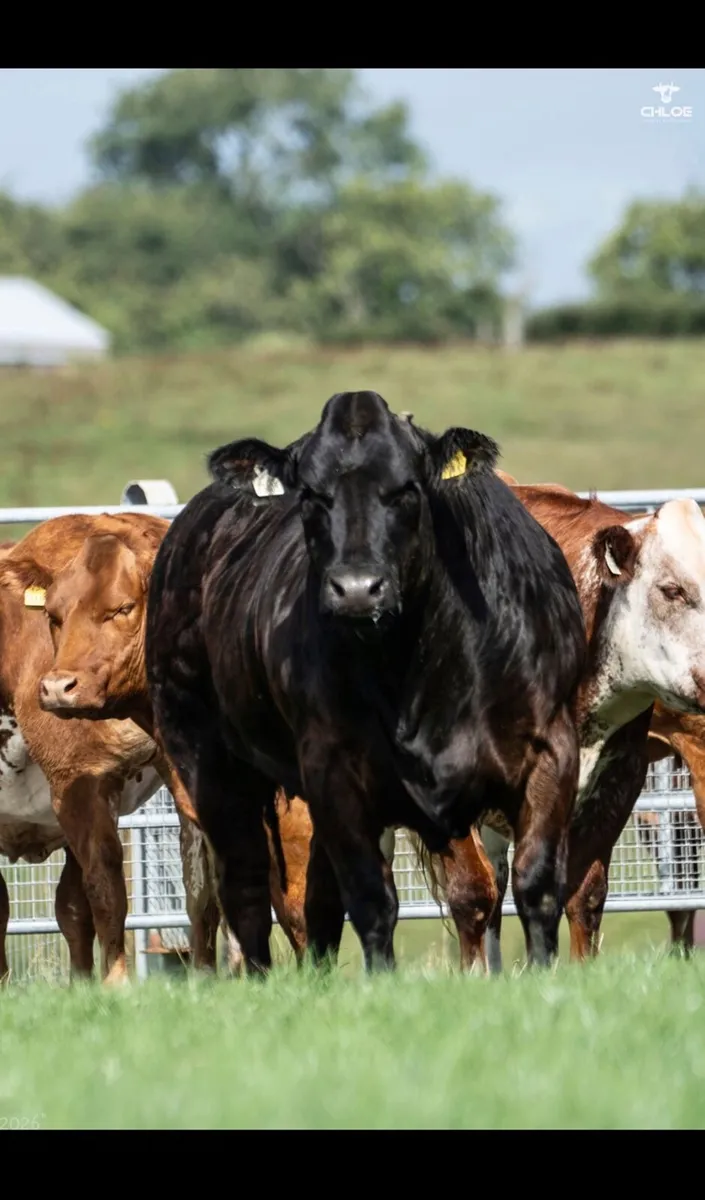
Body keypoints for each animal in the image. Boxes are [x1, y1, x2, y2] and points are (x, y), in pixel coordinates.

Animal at [144, 390, 587, 976]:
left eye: (407, 488)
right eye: (311, 493)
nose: (357, 589)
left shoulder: (552, 749)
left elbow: (536, 884)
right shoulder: (333, 768)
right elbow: (372, 899)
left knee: (315, 898)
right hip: (207, 760)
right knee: (245, 886)